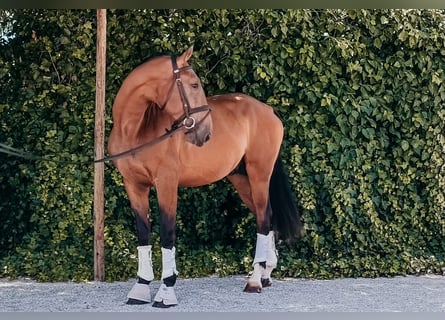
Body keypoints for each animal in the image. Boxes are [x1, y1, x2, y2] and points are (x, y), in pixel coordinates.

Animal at [107, 45, 302, 308]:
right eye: (194, 85)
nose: (205, 133)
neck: (136, 130)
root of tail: (268, 110)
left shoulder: (166, 184)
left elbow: (167, 233)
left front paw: (166, 291)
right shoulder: (134, 185)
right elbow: (143, 233)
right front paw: (140, 288)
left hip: (259, 175)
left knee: (263, 219)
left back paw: (254, 281)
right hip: (241, 179)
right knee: (267, 217)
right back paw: (265, 274)